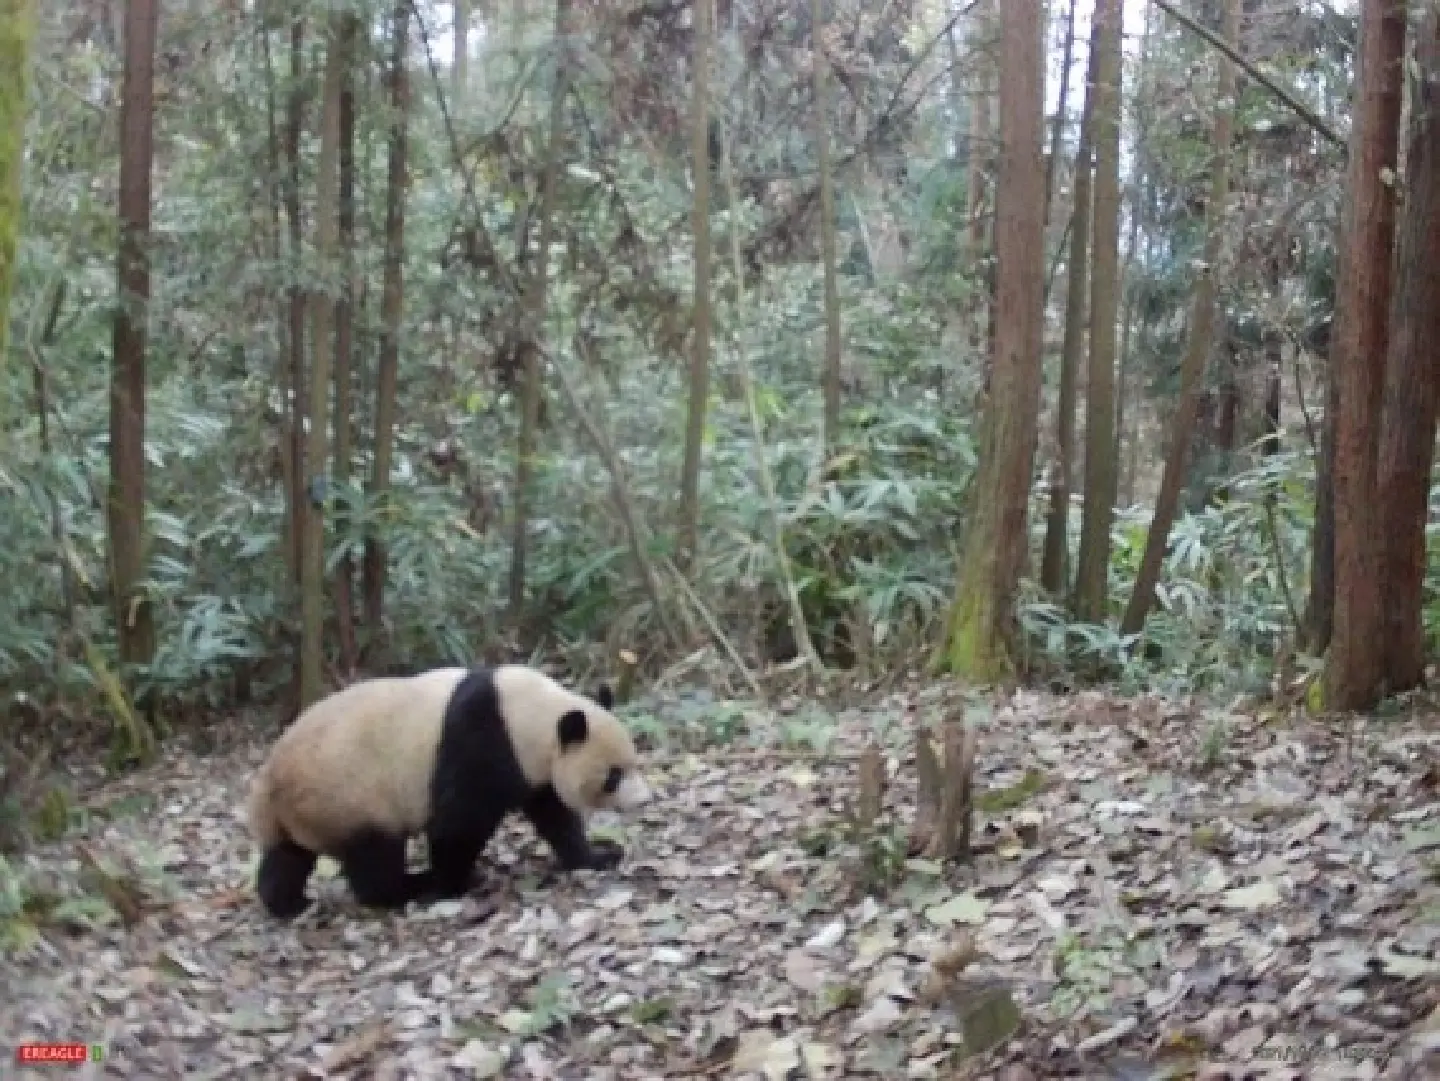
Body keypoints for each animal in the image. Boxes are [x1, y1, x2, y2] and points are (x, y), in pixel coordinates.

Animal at [245, 664, 652, 918]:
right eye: (613, 776)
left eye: (635, 763)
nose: (644, 800)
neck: (526, 713)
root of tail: (270, 783)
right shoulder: (481, 741)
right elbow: (459, 823)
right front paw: (455, 882)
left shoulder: (533, 767)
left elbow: (553, 815)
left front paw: (598, 855)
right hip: (349, 796)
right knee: (374, 855)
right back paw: (409, 886)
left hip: (302, 813)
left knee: (287, 856)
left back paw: (289, 903)